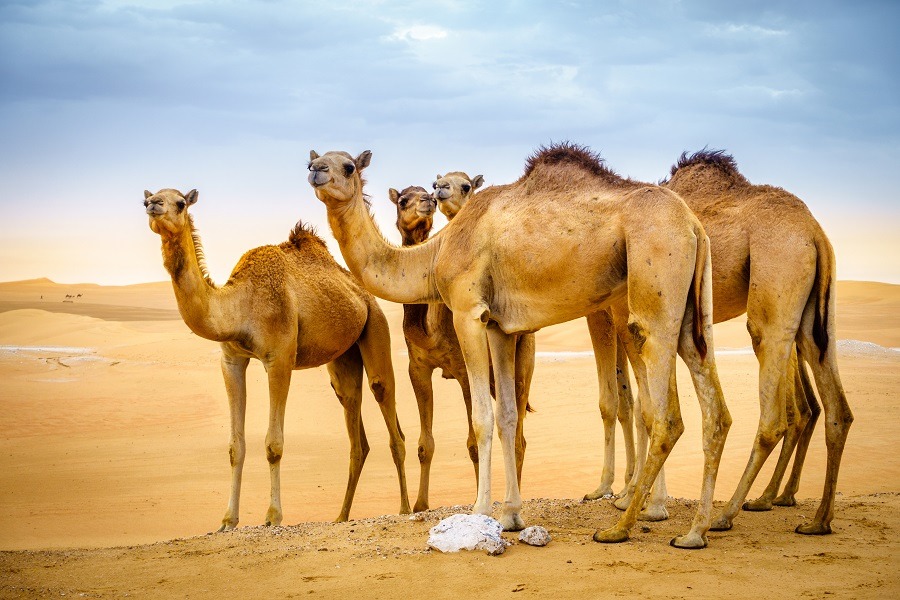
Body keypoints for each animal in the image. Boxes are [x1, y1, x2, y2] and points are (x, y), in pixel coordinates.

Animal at [142, 186, 410, 528]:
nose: (153, 205)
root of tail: (363, 293)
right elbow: (235, 446)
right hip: (343, 358)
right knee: (355, 429)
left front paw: (272, 515)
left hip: (375, 325)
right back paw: (341, 516)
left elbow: (273, 444)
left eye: (179, 202)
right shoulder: (231, 360)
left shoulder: (280, 358)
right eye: (148, 198)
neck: (238, 308)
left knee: (389, 413)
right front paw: (227, 520)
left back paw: (405, 508)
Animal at [392, 184, 536, 510]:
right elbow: (425, 444)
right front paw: (420, 505)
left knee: (520, 434)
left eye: (425, 192)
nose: (429, 201)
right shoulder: (417, 367)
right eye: (402, 200)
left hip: (524, 360)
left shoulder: (461, 368)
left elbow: (472, 443)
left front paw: (478, 500)